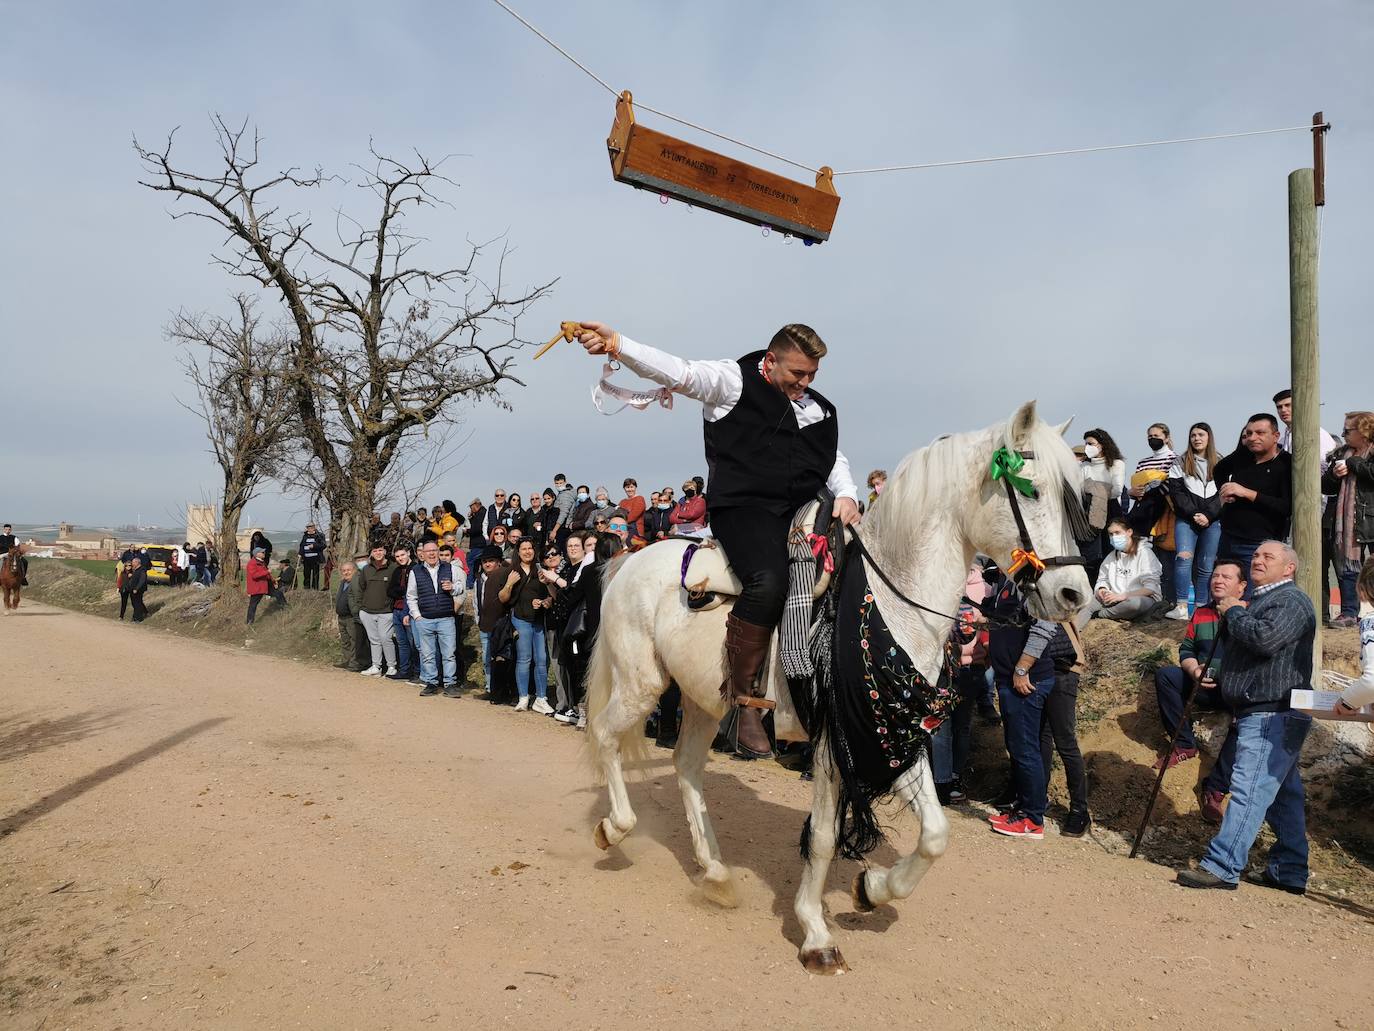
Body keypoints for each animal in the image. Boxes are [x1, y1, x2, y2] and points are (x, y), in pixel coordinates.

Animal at [585, 404, 1088, 978]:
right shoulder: (837, 740)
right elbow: (825, 838)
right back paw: (615, 828)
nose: (1075, 594)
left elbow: (936, 834)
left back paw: (714, 871)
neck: (892, 606)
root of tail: (632, 559)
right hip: (641, 684)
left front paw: (873, 888)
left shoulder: (894, 732)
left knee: (687, 766)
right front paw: (816, 933)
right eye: (1031, 491)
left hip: (703, 699)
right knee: (605, 735)